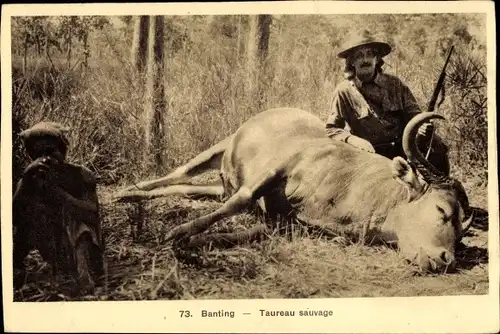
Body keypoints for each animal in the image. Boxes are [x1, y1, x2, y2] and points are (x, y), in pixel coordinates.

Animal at [115, 108, 474, 272]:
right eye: (442, 210)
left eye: (460, 232)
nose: (445, 259)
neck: (349, 180)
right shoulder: (277, 169)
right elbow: (239, 202)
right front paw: (178, 232)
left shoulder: (287, 224)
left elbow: (249, 231)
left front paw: (194, 242)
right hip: (219, 150)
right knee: (181, 174)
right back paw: (127, 191)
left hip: (219, 185)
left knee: (190, 189)